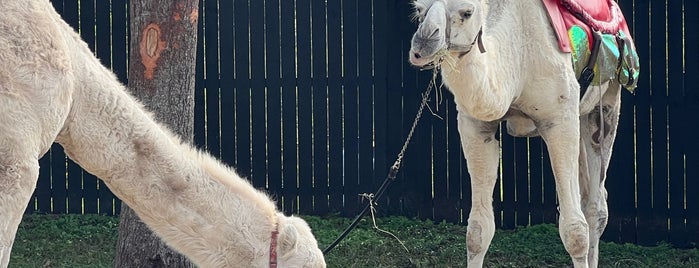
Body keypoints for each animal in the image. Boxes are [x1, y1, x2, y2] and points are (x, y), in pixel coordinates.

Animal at [408, 0, 632, 268]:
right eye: (419, 10)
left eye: (467, 12)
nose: (422, 44)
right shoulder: (475, 125)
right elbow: (477, 231)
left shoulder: (560, 118)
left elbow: (575, 231)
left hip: (608, 99)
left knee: (595, 206)